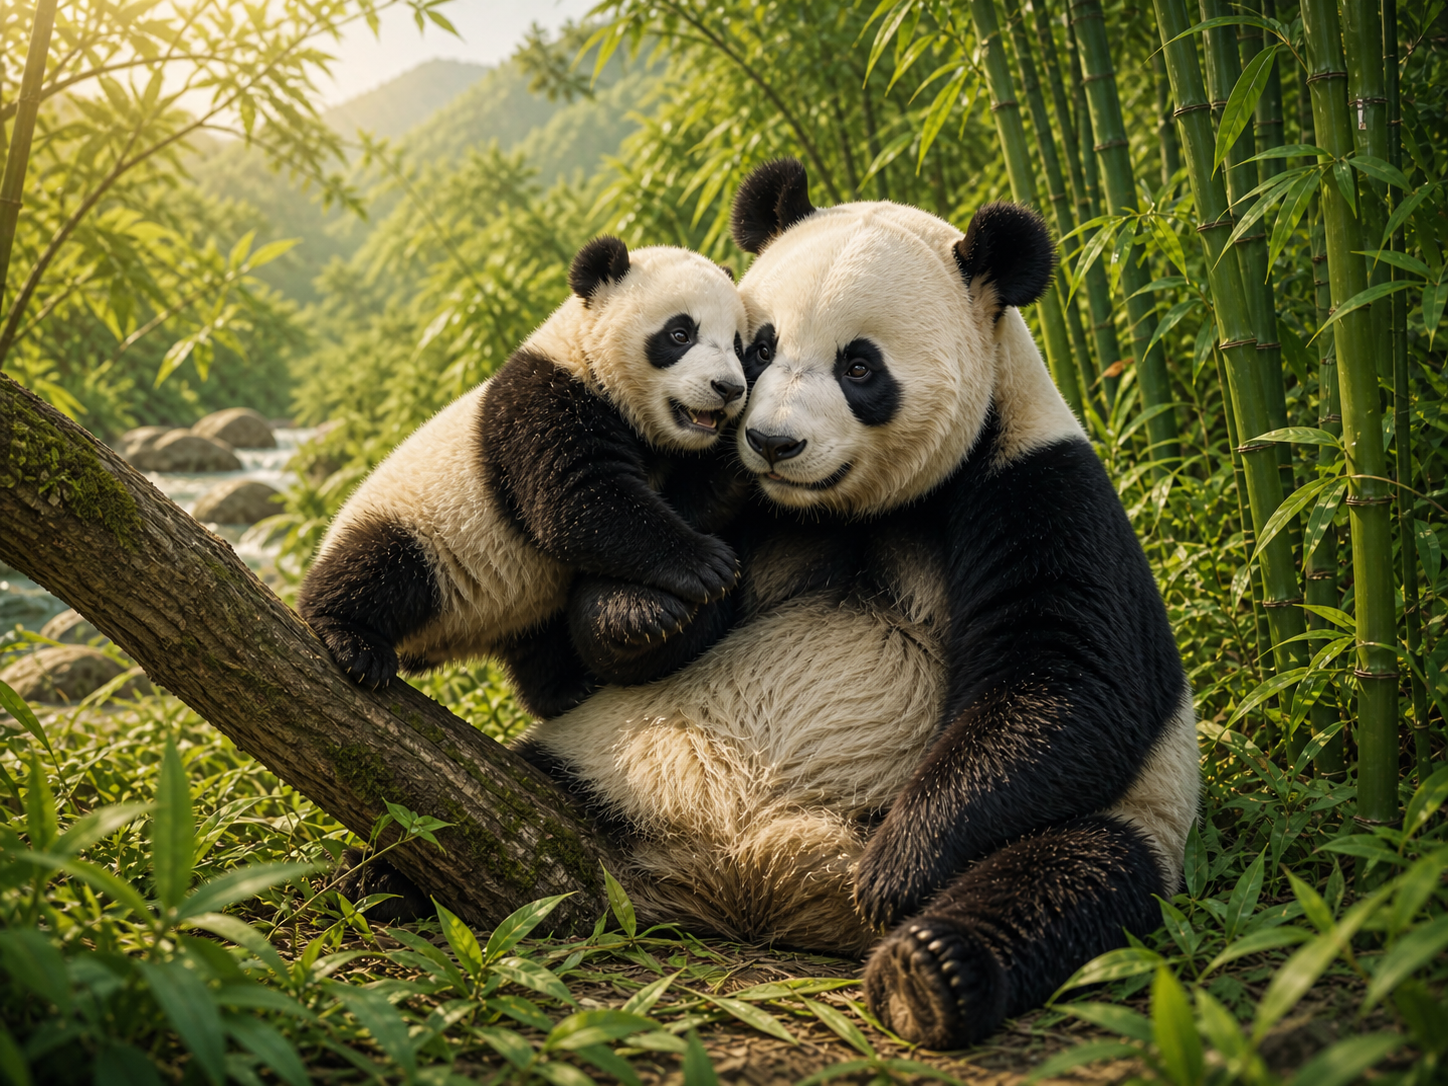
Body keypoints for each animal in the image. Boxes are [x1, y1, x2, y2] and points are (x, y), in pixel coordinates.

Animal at [297, 237, 751, 715]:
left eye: (738, 346)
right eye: (680, 334)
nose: (728, 388)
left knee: (538, 647)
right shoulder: (541, 408)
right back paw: (350, 638)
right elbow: (576, 501)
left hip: (523, 609)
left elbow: (686, 493)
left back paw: (565, 688)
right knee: (380, 567)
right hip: (413, 528)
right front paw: (707, 563)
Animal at [517, 160, 1200, 1049]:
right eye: (761, 346)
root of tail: (753, 878)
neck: (842, 509)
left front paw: (900, 866)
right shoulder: (726, 490)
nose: (773, 443)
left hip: (1135, 812)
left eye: (860, 368)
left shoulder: (1033, 481)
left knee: (1069, 871)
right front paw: (645, 610)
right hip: (604, 767)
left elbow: (1066, 679)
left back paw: (929, 968)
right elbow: (577, 651)